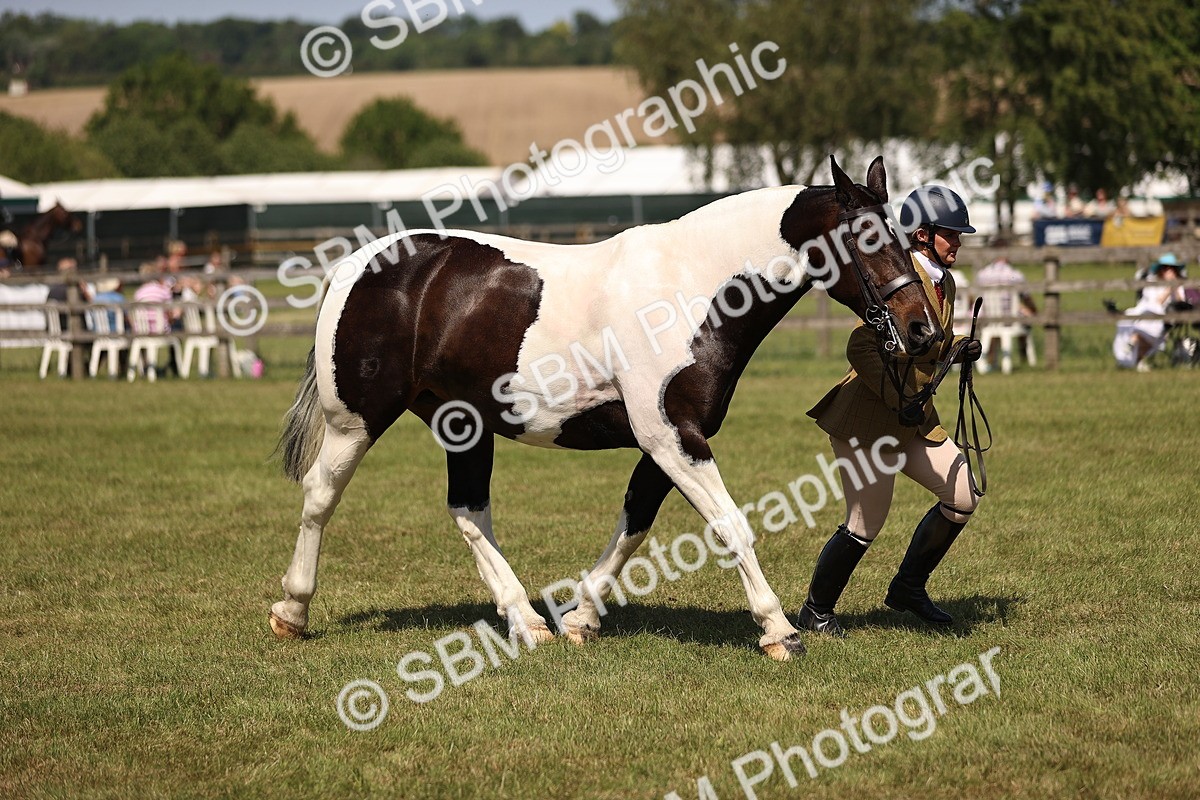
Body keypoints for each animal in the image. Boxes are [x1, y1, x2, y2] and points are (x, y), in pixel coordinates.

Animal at [270, 156, 943, 661]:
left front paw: (579, 618)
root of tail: (359, 264)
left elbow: (635, 523)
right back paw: (292, 611)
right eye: (866, 237)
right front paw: (779, 631)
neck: (691, 288)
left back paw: (527, 623)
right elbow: (730, 524)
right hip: (355, 421)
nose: (922, 329)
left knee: (468, 510)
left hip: (462, 424)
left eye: (904, 235)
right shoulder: (674, 437)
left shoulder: (668, 440)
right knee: (320, 496)